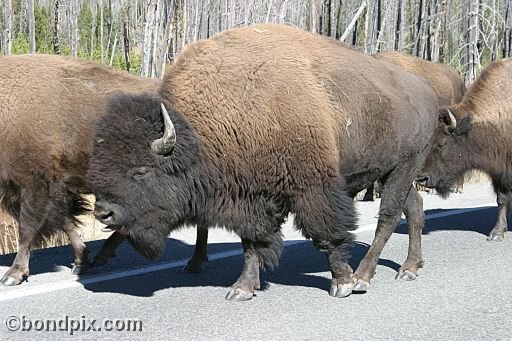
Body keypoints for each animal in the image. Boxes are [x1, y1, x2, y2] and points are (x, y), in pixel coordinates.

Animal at [0, 55, 158, 284]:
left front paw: (13, 274)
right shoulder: (56, 188)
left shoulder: (33, 185)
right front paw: (81, 262)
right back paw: (102, 256)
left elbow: (27, 228)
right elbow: (66, 222)